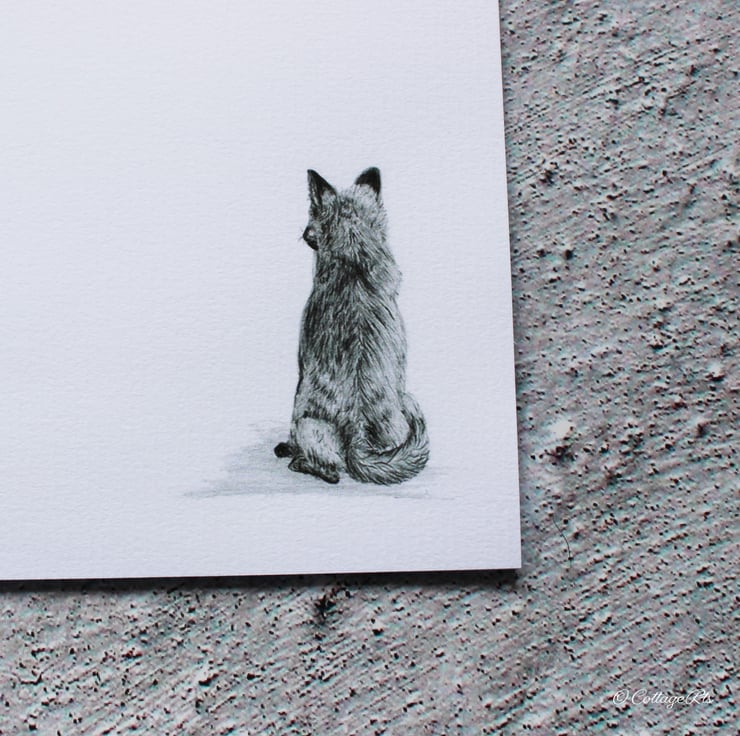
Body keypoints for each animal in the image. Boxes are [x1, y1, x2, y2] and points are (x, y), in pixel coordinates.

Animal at [274, 167, 429, 485]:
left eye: (310, 223)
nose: (304, 233)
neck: (354, 267)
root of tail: (358, 429)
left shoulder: (302, 367)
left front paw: (288, 449)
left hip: (306, 423)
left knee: (331, 472)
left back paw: (299, 461)